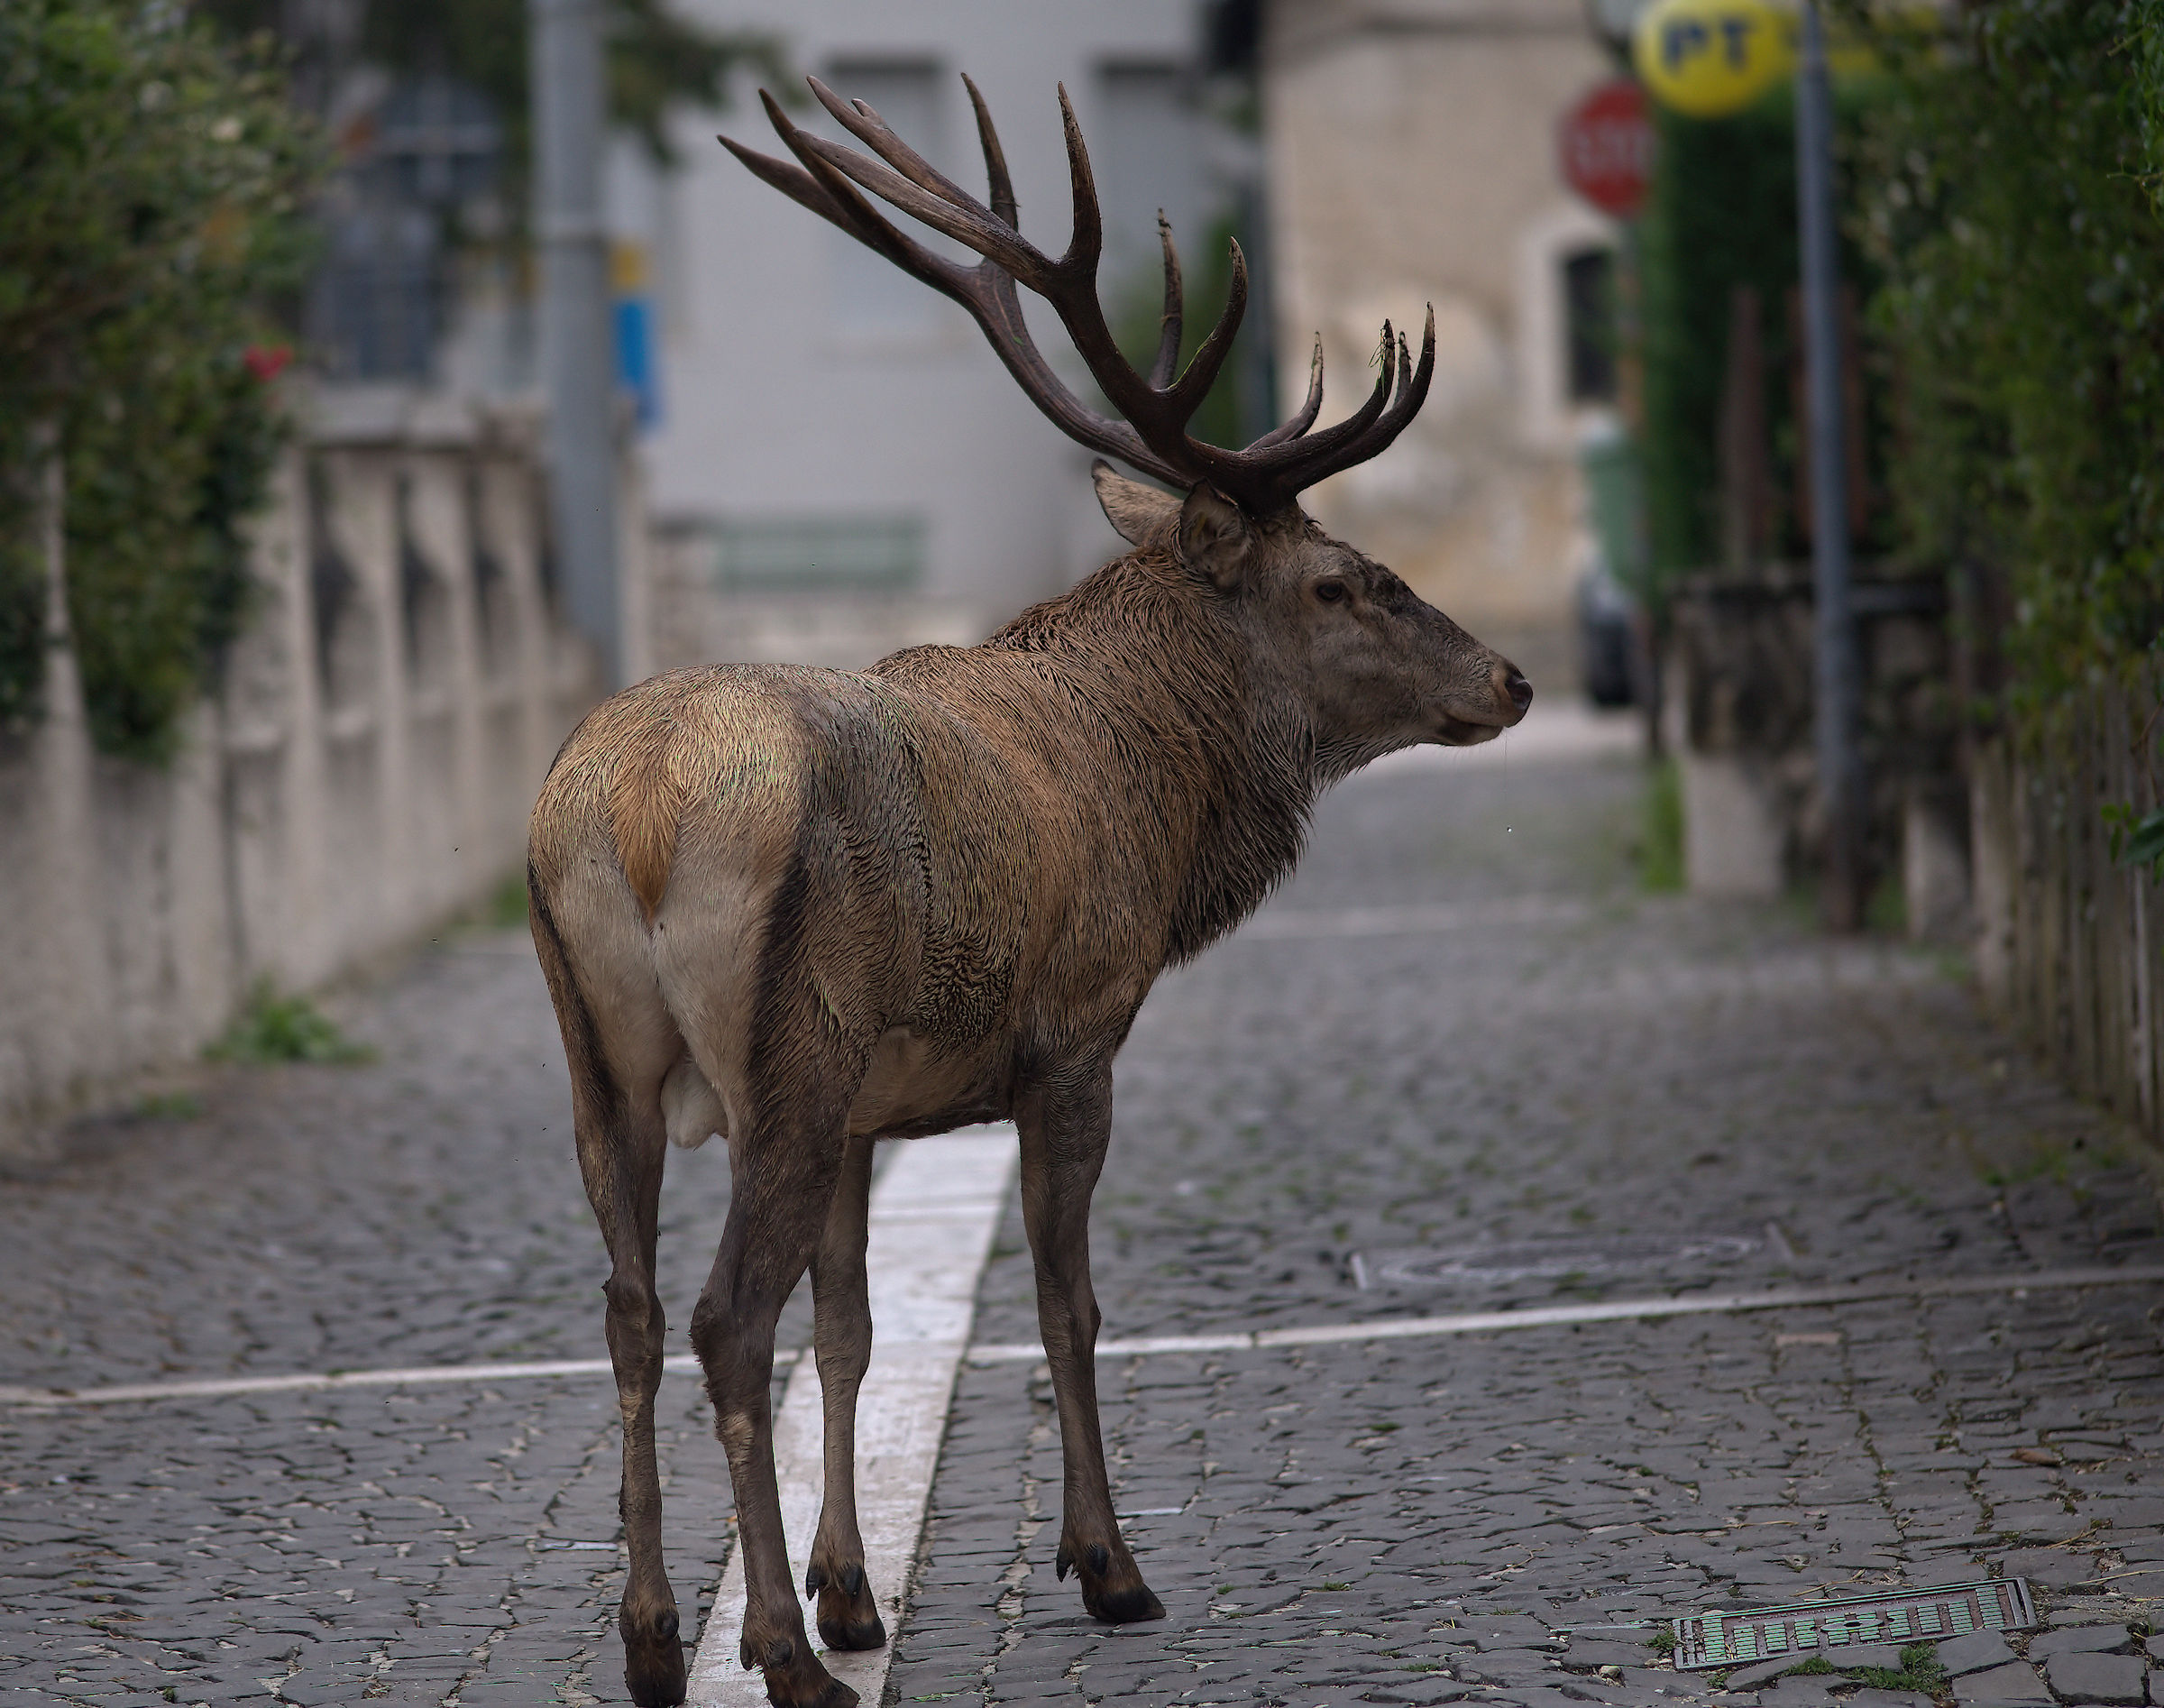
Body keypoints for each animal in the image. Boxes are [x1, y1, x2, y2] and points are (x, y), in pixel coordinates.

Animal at [525, 74, 1531, 1708]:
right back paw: (776, 1659)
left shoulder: (872, 1110)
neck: (1160, 808)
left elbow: (855, 1326)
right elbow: (1067, 1299)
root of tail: (627, 809)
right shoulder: (1073, 1030)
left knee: (629, 1308)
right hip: (785, 1047)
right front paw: (1107, 1564)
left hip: (597, 1057)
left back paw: (658, 1641)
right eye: (1342, 580)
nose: (1510, 676)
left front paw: (855, 1590)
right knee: (724, 1318)